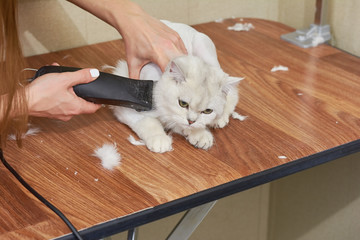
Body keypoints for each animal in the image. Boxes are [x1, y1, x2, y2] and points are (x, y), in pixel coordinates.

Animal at [111, 20, 243, 152]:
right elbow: (148, 122)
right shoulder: (127, 106)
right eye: (183, 103)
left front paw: (200, 134)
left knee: (233, 94)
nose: (191, 121)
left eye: (207, 111)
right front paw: (160, 140)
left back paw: (220, 119)